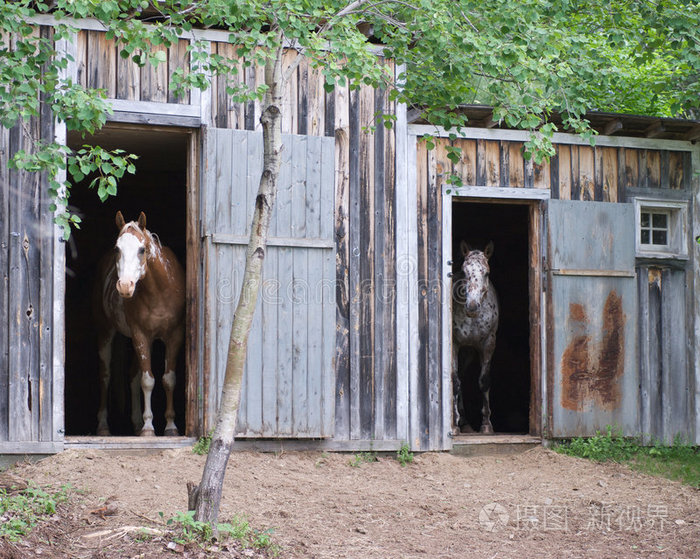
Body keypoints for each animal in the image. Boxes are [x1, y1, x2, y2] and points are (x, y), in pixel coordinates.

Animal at [93, 211, 185, 436]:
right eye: (117, 248)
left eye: (142, 249)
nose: (125, 286)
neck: (160, 291)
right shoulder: (140, 335)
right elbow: (148, 380)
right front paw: (148, 427)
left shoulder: (174, 336)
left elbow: (168, 379)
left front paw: (170, 426)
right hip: (106, 332)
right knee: (105, 376)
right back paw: (104, 426)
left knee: (133, 376)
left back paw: (135, 423)